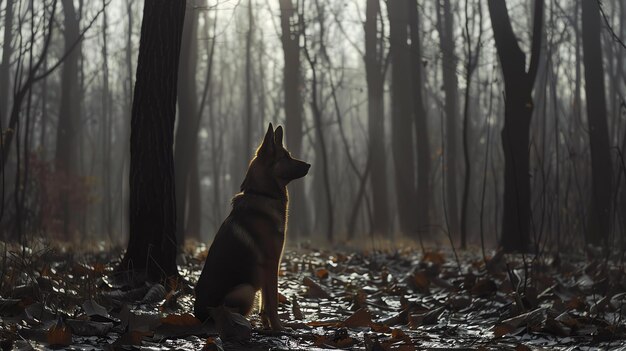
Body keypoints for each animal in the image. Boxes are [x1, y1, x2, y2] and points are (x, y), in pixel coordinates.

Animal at [194, 122, 308, 332]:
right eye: (285, 157)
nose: (309, 165)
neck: (262, 193)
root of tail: (199, 315)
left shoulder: (266, 270)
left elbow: (265, 301)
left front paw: (267, 325)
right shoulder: (271, 264)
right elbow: (272, 300)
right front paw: (278, 328)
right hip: (245, 289)